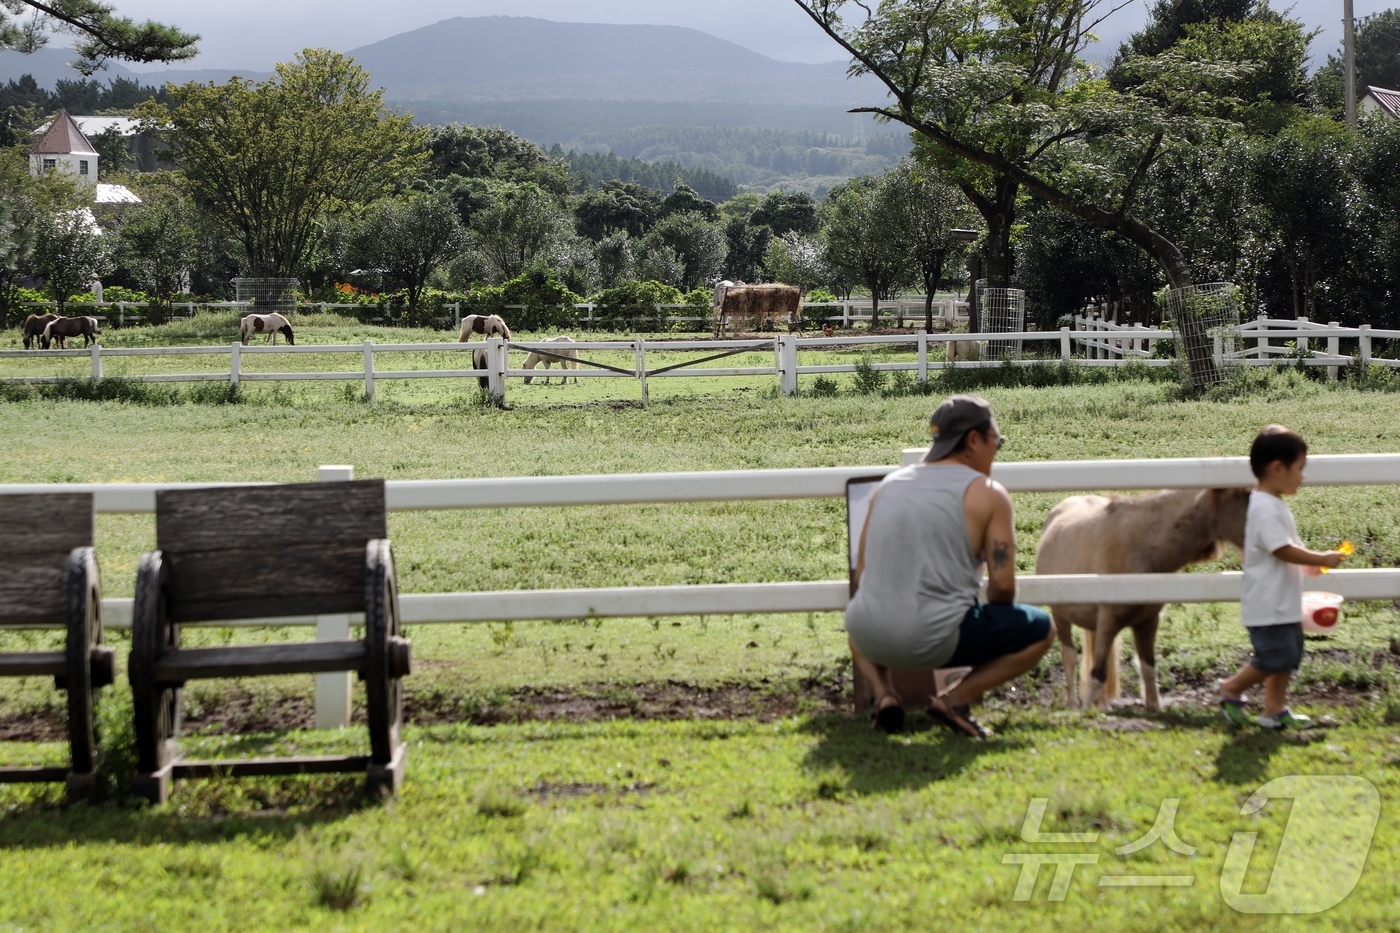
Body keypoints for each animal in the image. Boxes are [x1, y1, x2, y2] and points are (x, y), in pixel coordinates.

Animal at [1036, 481, 1254, 708]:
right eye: (1246, 496)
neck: (1141, 546)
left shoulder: (1147, 622)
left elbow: (1147, 667)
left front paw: (1153, 706)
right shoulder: (1108, 621)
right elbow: (1098, 672)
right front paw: (1086, 711)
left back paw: (1102, 705)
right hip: (1061, 615)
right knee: (1069, 656)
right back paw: (1072, 704)